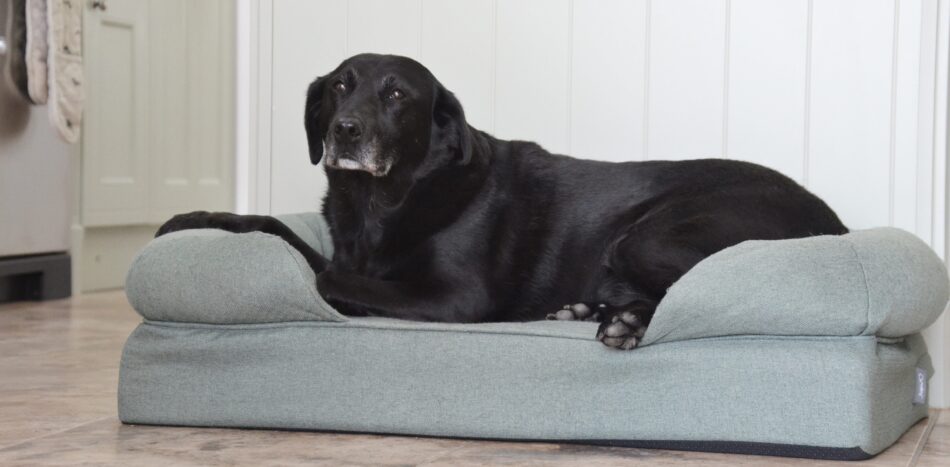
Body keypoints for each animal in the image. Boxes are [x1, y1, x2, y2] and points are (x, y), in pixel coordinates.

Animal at [156, 53, 848, 350]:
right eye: (339, 87)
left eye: (397, 95)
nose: (343, 132)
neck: (385, 201)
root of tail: (834, 223)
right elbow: (278, 230)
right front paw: (194, 218)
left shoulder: (459, 299)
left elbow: (325, 276)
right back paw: (588, 310)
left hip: (647, 235)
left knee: (684, 290)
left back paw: (624, 321)